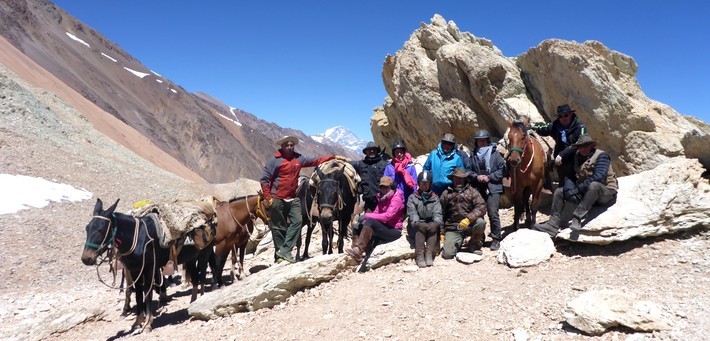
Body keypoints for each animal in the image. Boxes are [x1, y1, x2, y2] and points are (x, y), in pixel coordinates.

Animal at [81, 198, 213, 330]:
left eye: (101, 229)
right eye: (87, 228)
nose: (86, 258)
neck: (137, 237)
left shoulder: (149, 269)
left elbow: (147, 293)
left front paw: (148, 323)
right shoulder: (135, 270)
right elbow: (138, 294)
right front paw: (138, 322)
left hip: (204, 255)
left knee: (202, 277)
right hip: (190, 259)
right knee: (195, 279)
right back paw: (192, 303)